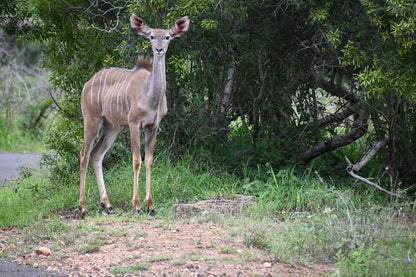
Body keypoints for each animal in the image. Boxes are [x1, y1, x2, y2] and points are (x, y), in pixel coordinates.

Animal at [78, 14, 190, 218]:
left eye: (168, 37)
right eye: (152, 36)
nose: (159, 49)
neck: (151, 94)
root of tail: (87, 84)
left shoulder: (153, 127)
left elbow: (150, 161)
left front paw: (151, 206)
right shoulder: (134, 124)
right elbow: (137, 160)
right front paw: (137, 206)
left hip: (112, 127)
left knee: (96, 154)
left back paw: (107, 205)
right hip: (92, 121)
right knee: (84, 154)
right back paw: (82, 208)